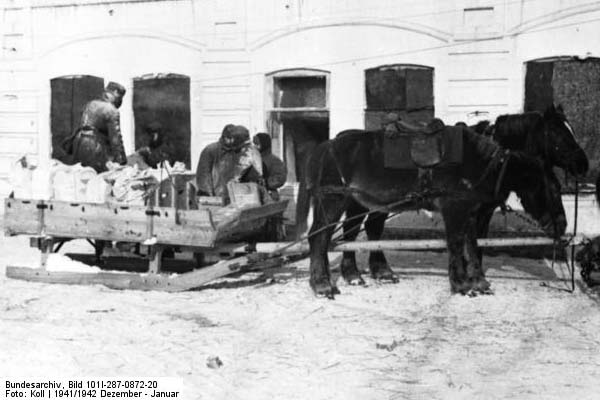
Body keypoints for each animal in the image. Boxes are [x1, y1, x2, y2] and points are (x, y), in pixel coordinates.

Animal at [302, 126, 564, 298]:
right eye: (552, 189)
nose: (561, 226)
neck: (478, 163)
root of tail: (324, 147)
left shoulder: (471, 213)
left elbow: (473, 245)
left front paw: (479, 282)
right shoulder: (454, 209)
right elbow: (456, 244)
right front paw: (461, 285)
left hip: (357, 202)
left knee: (352, 233)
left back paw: (357, 275)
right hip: (332, 200)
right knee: (319, 237)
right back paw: (322, 285)